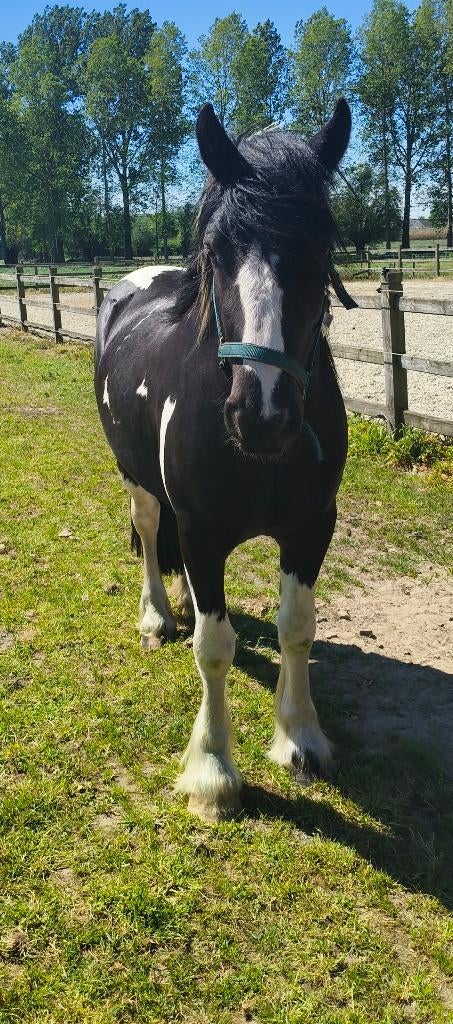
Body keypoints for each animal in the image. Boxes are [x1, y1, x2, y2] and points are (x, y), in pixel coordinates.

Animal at [94, 99, 355, 821]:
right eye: (216, 253)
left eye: (320, 248)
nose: (261, 413)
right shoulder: (205, 532)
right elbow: (212, 649)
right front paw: (213, 772)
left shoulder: (310, 528)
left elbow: (297, 628)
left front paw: (300, 739)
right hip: (138, 481)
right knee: (151, 531)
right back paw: (158, 615)